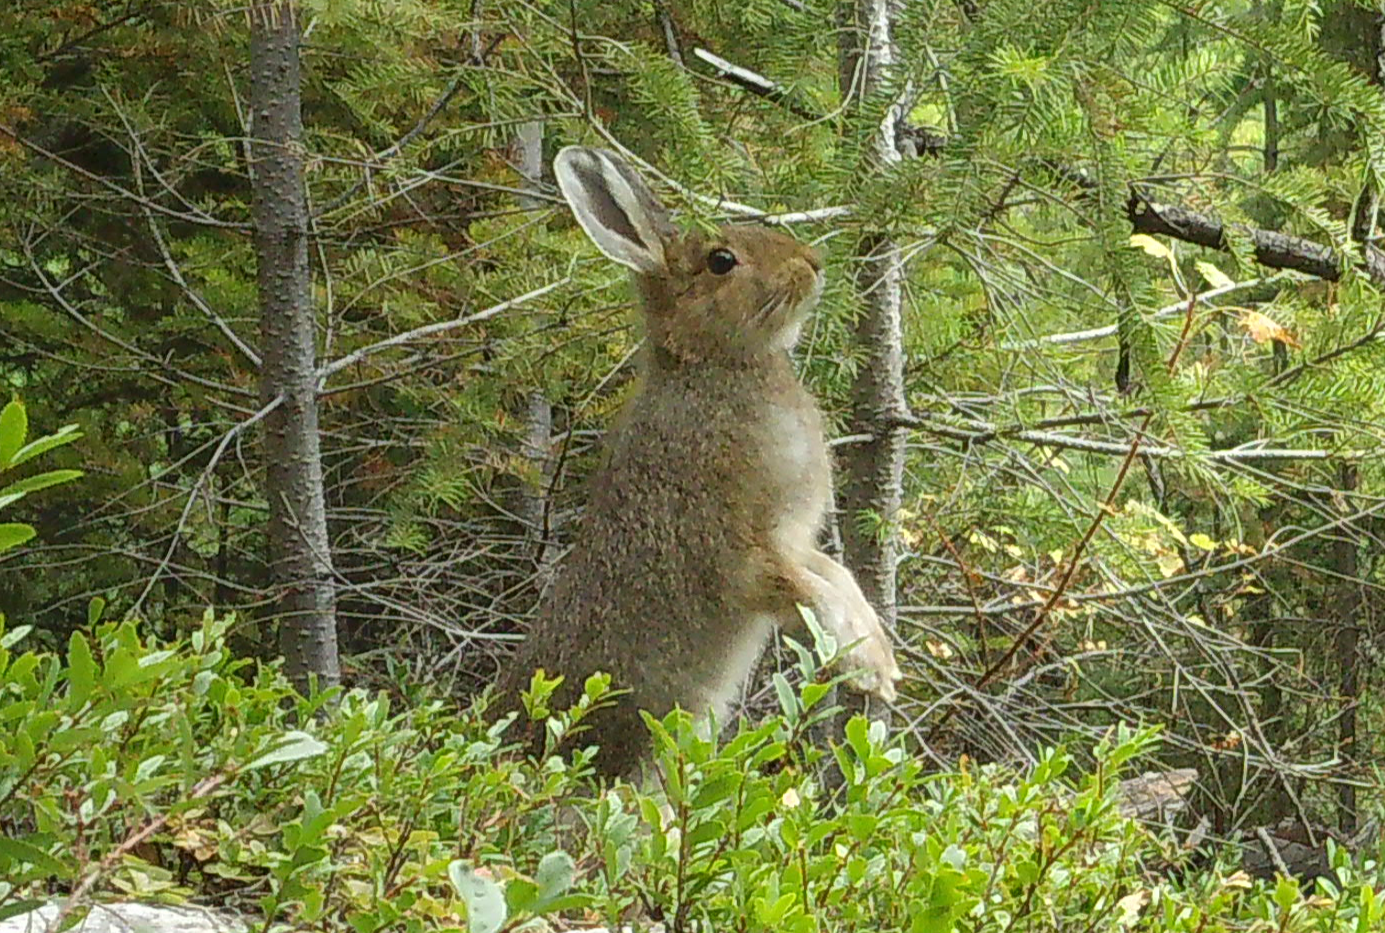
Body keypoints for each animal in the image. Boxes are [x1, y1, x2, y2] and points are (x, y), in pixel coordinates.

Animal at [494, 146, 901, 781]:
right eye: (721, 260)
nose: (812, 263)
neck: (714, 365)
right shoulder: (741, 549)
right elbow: (808, 593)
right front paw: (869, 671)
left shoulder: (797, 540)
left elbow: (838, 579)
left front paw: (882, 657)